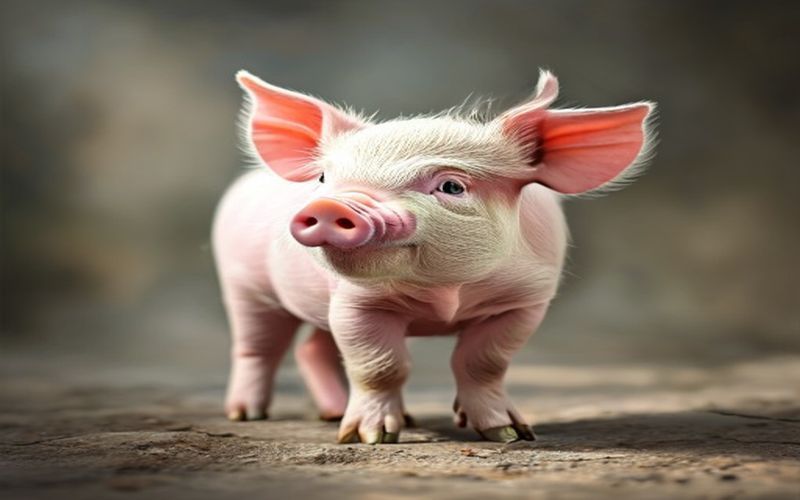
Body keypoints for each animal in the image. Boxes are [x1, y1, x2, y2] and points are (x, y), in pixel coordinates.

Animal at [213, 69, 655, 444]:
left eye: (451, 186)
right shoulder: (357, 303)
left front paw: (509, 434)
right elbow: (380, 365)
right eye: (324, 178)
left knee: (312, 349)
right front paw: (369, 438)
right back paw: (247, 415)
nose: (330, 205)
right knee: (257, 347)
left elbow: (483, 361)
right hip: (242, 283)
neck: (446, 297)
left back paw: (334, 414)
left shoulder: (524, 300)